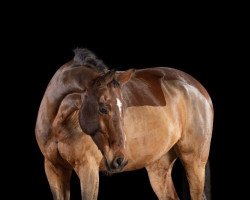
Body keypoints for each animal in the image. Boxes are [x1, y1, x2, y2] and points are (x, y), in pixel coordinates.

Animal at [35, 48, 213, 200]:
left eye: (124, 107)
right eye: (103, 108)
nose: (120, 160)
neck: (58, 126)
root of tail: (197, 88)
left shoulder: (88, 169)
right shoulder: (54, 169)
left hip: (194, 162)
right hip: (158, 167)